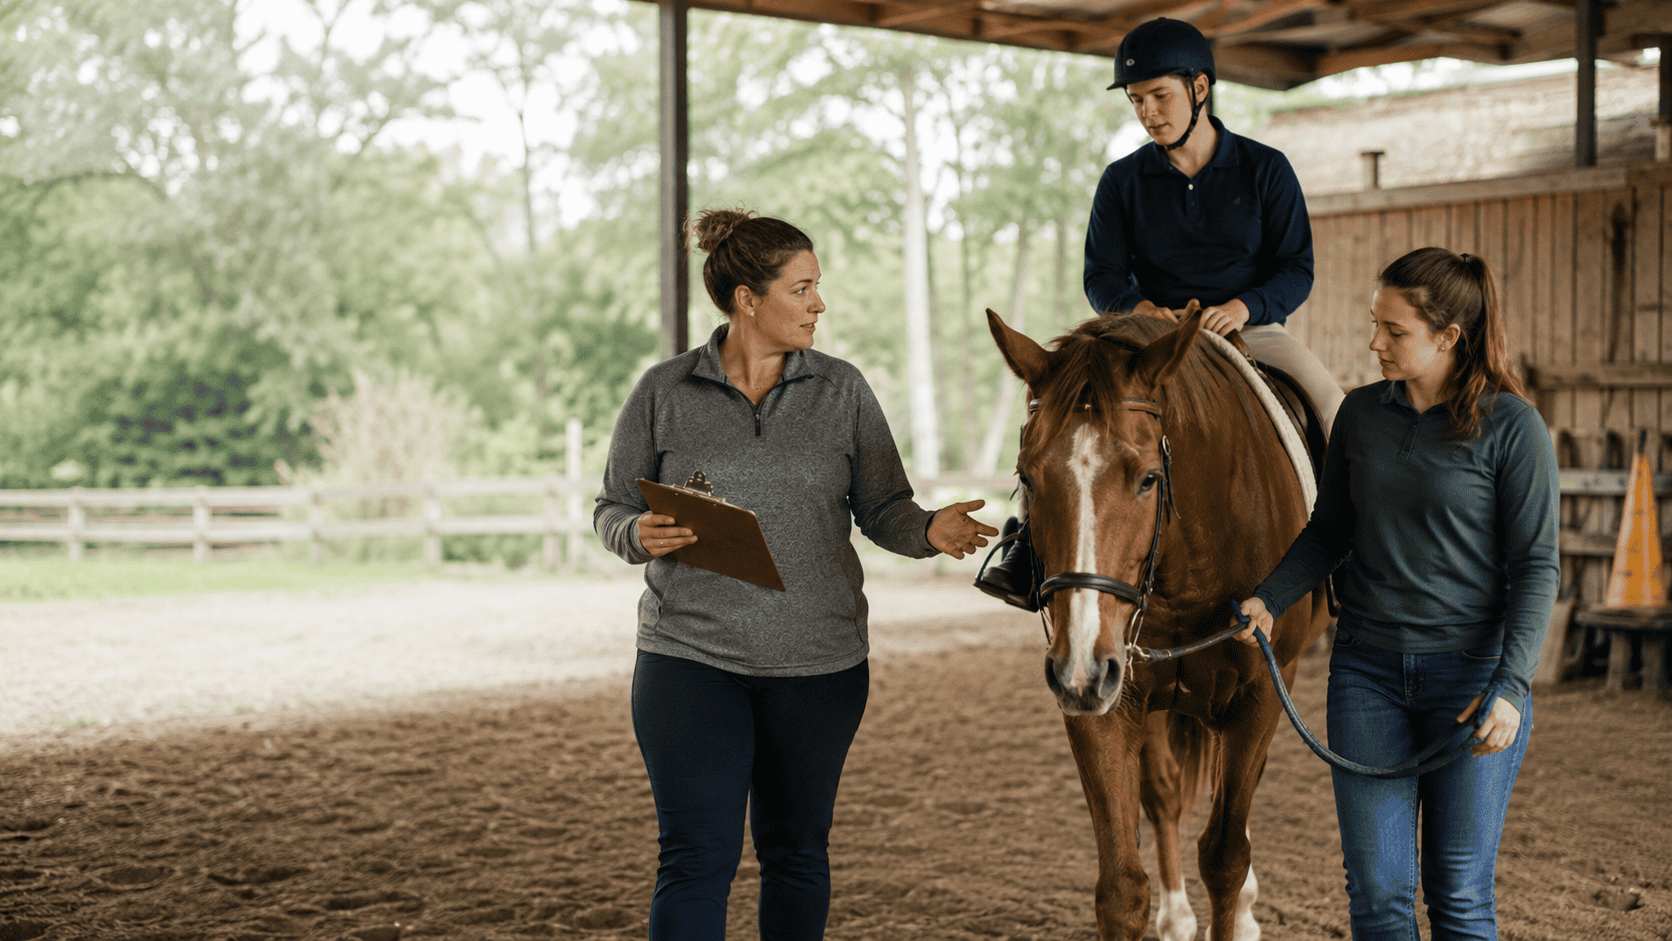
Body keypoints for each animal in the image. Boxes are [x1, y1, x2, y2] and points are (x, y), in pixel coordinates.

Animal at [987, 305, 1332, 941]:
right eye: (1027, 477)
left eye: (1148, 477)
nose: (1079, 665)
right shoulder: (1101, 698)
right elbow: (1122, 887)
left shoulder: (1259, 694)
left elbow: (1224, 856)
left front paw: (1236, 909)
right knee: (1167, 794)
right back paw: (1176, 917)